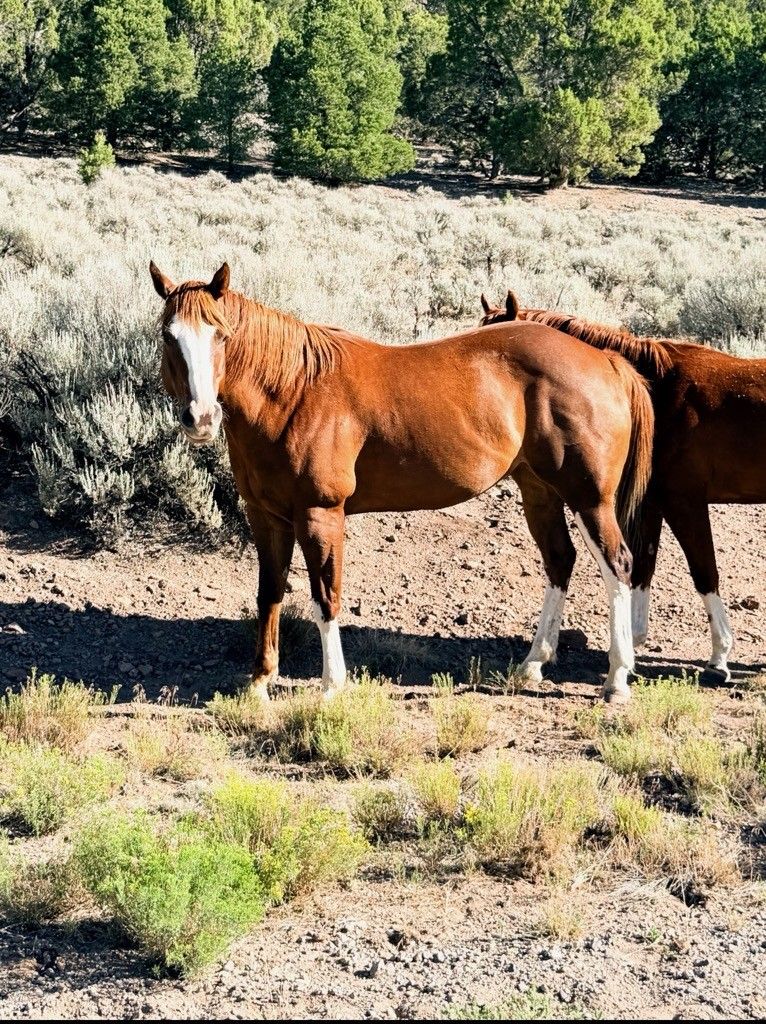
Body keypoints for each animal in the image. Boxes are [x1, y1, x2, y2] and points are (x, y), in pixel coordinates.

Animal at [149, 262, 654, 703]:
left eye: (221, 334)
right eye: (169, 336)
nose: (200, 418)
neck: (293, 393)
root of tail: (607, 360)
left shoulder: (319, 515)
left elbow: (325, 597)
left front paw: (332, 686)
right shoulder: (266, 517)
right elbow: (269, 593)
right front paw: (260, 681)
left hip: (590, 498)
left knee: (618, 566)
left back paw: (616, 680)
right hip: (539, 491)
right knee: (559, 560)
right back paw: (532, 665)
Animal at [480, 290, 765, 681]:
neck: (658, 388)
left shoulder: (684, 502)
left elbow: (704, 571)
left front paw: (719, 656)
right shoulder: (654, 503)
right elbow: (644, 565)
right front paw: (634, 641)